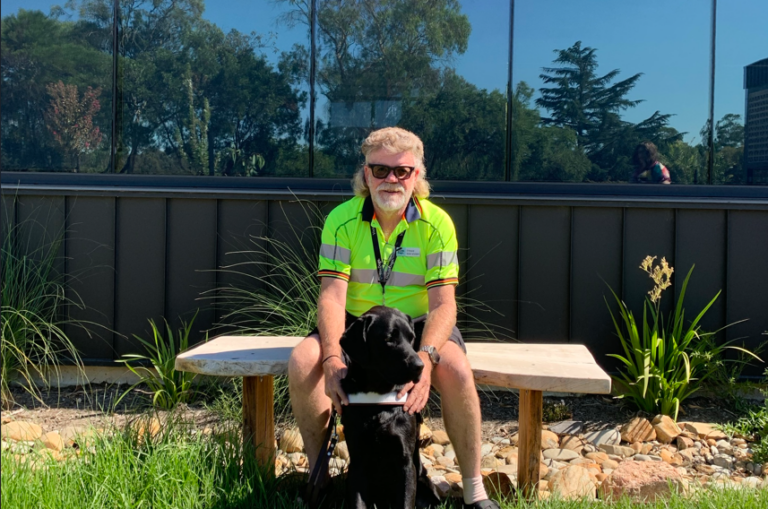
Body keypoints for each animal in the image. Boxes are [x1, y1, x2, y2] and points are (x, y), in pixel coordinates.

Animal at [340, 306, 440, 508]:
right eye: (388, 339)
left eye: (411, 338)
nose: (420, 366)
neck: (377, 400)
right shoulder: (358, 464)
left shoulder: (405, 464)